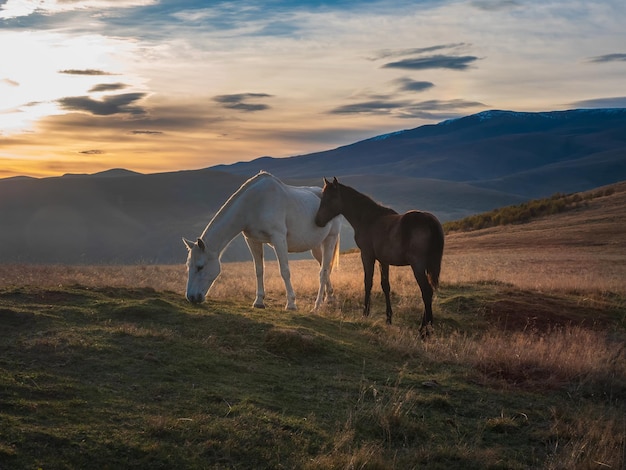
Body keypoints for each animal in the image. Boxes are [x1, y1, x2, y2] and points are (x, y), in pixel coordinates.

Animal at [183, 171, 342, 310]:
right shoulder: (252, 240)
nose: (191, 297)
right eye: (188, 266)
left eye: (200, 267)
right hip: (316, 246)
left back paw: (321, 303)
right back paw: (329, 298)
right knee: (324, 266)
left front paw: (291, 304)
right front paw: (258, 301)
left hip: (330, 239)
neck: (255, 204)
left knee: (324, 270)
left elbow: (285, 271)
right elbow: (259, 270)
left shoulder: (278, 238)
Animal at [314, 176, 442, 334]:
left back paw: (424, 330)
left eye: (330, 198)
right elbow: (385, 286)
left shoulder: (367, 256)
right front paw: (388, 319)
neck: (369, 219)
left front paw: (365, 313)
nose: (318, 221)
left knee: (426, 291)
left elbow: (368, 282)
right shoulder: (383, 260)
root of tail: (429, 221)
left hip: (417, 265)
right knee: (428, 291)